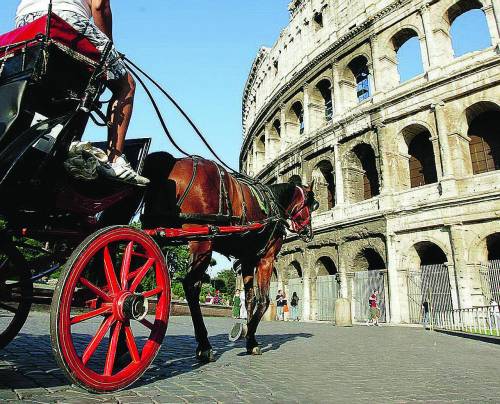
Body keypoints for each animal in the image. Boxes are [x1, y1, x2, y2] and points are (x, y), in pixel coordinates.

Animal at [142, 153, 316, 362]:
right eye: (312, 205)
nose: (308, 232)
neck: (274, 206)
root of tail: (174, 161)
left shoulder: (248, 261)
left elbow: (250, 299)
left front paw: (249, 336)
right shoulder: (266, 259)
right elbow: (264, 300)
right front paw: (251, 339)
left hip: (157, 232)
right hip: (202, 240)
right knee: (191, 286)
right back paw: (204, 345)